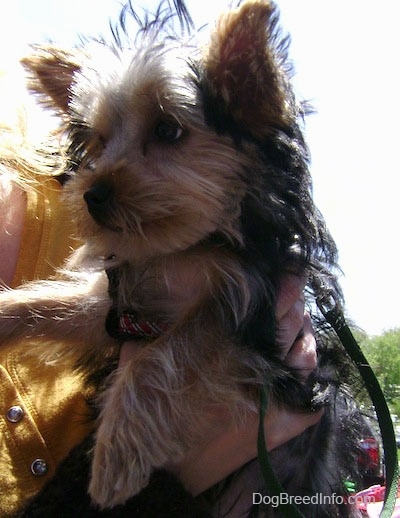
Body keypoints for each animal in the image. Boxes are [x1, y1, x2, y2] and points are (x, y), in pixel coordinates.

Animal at [0, 2, 364, 516]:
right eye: (99, 142)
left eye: (168, 129)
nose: (92, 194)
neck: (184, 250)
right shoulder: (124, 313)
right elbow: (49, 305)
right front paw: (2, 314)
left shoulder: (245, 316)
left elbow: (166, 355)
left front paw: (115, 456)